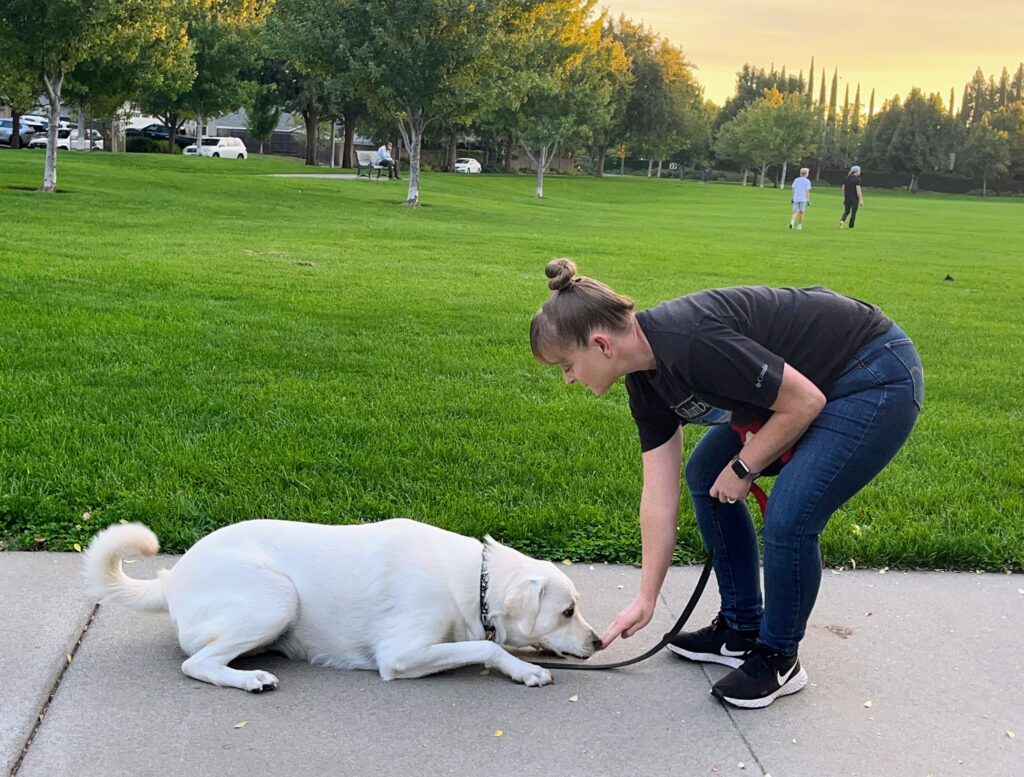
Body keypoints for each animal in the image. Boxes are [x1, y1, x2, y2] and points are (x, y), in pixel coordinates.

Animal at [88, 515, 602, 692]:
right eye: (567, 611)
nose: (599, 641)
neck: (476, 580)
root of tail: (172, 578)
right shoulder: (401, 654)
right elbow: (487, 647)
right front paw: (524, 670)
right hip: (278, 599)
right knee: (196, 663)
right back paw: (248, 677)